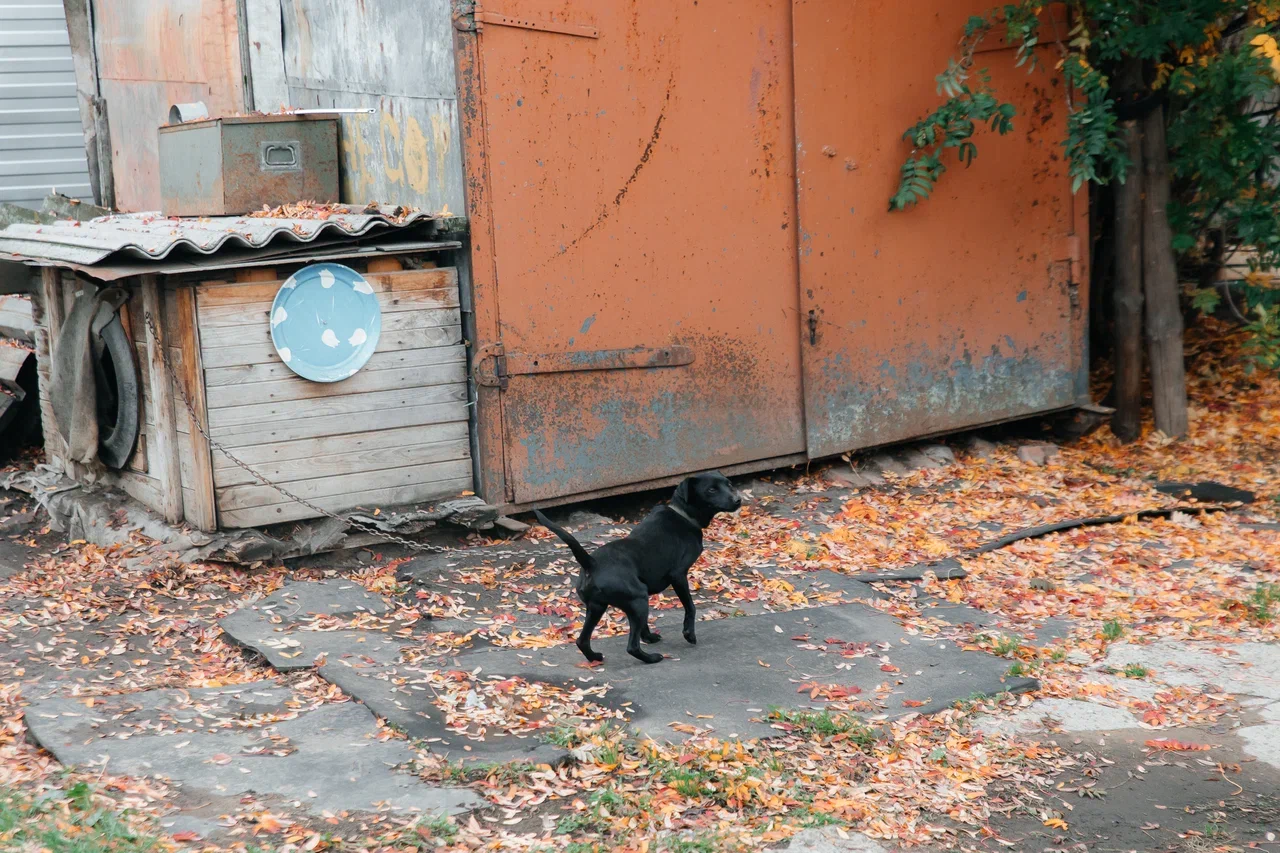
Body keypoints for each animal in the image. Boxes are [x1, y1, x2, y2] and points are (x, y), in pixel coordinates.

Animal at [535, 471, 747, 666]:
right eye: (711, 490)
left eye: (728, 484)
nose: (738, 500)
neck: (683, 514)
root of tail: (591, 563)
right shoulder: (678, 575)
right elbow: (690, 607)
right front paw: (689, 633)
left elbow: (645, 624)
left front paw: (649, 637)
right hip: (637, 599)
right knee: (631, 647)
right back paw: (651, 658)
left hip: (598, 607)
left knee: (582, 641)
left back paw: (595, 657)